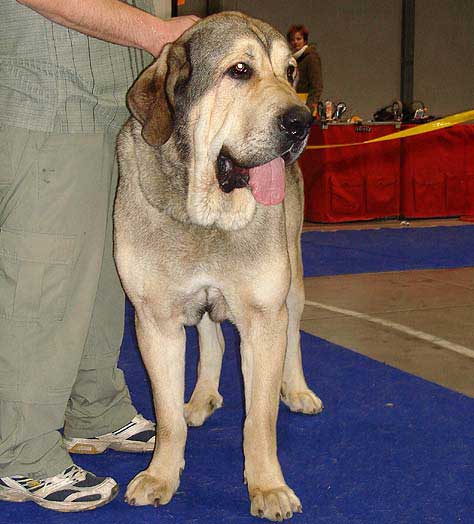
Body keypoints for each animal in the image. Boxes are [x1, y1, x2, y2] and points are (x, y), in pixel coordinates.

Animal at [113, 10, 324, 520]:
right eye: (240, 71)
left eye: (290, 72)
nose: (302, 121)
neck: (206, 217)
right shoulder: (155, 321)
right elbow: (167, 416)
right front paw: (160, 475)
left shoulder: (264, 317)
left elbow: (260, 420)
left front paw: (268, 487)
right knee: (213, 339)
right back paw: (202, 396)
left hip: (292, 283)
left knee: (293, 335)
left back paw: (297, 390)